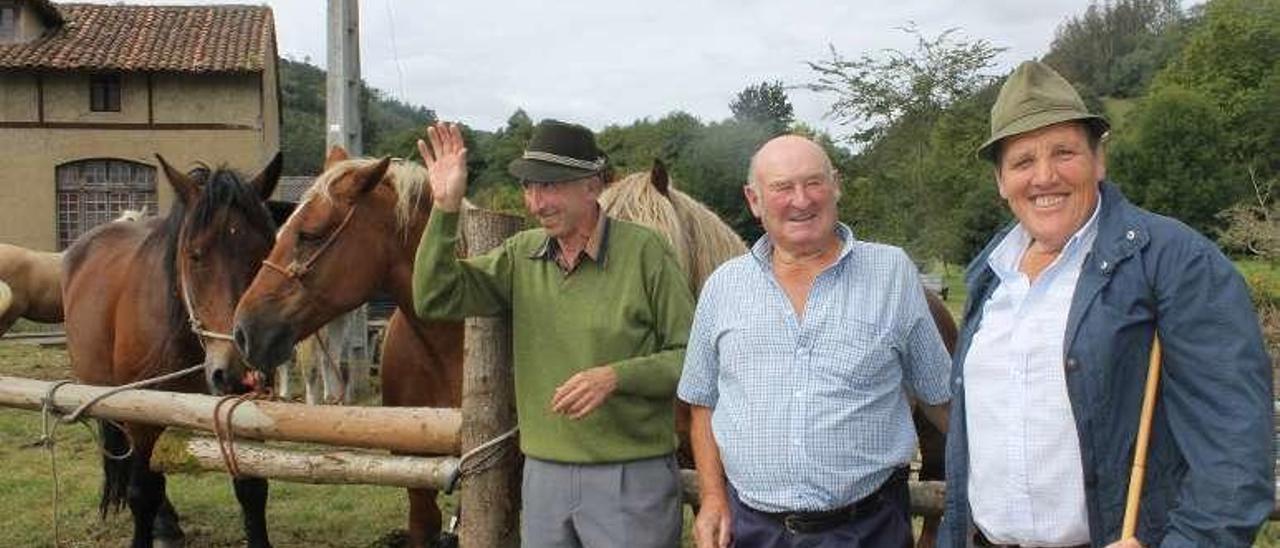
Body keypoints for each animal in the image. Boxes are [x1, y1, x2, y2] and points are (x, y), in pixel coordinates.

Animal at [61, 154, 280, 548]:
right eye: (194, 255)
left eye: (265, 252)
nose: (237, 370)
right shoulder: (141, 415)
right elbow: (142, 494)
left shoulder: (240, 411)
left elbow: (252, 489)